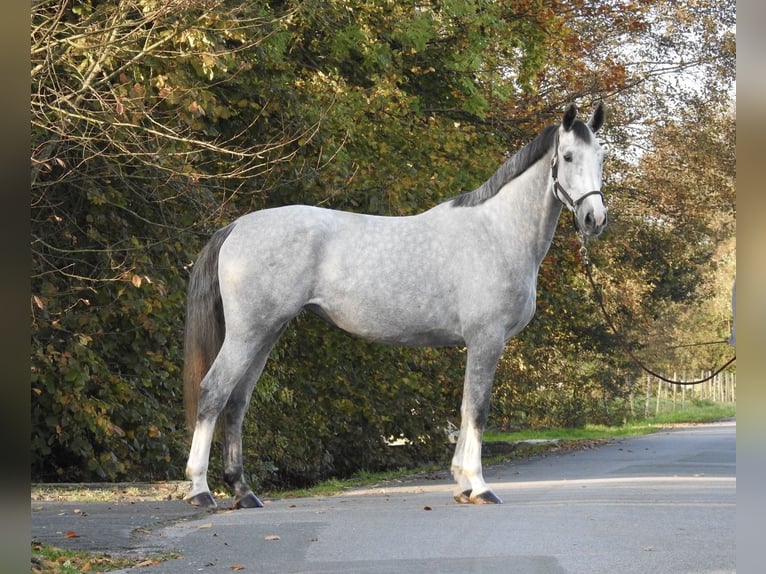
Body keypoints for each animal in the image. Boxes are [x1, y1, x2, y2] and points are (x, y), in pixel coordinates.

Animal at [183, 102, 608, 508]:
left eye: (600, 156)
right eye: (568, 156)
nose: (594, 219)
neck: (496, 232)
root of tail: (236, 227)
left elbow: (465, 408)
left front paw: (462, 484)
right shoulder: (486, 339)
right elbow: (477, 409)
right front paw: (478, 486)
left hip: (265, 333)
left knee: (237, 402)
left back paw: (243, 492)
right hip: (247, 333)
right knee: (213, 392)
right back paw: (200, 490)